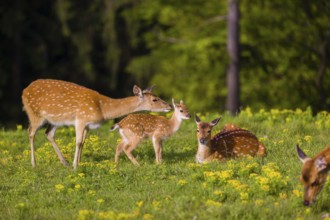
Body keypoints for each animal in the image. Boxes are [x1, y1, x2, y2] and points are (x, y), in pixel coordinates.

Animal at [21, 78, 171, 168]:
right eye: (155, 99)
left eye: (157, 96)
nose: (169, 106)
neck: (102, 109)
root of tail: (24, 91)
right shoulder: (81, 118)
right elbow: (78, 142)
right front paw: (75, 166)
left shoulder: (88, 124)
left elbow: (83, 142)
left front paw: (78, 162)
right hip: (34, 114)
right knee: (31, 132)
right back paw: (34, 163)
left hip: (54, 120)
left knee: (48, 134)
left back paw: (64, 162)